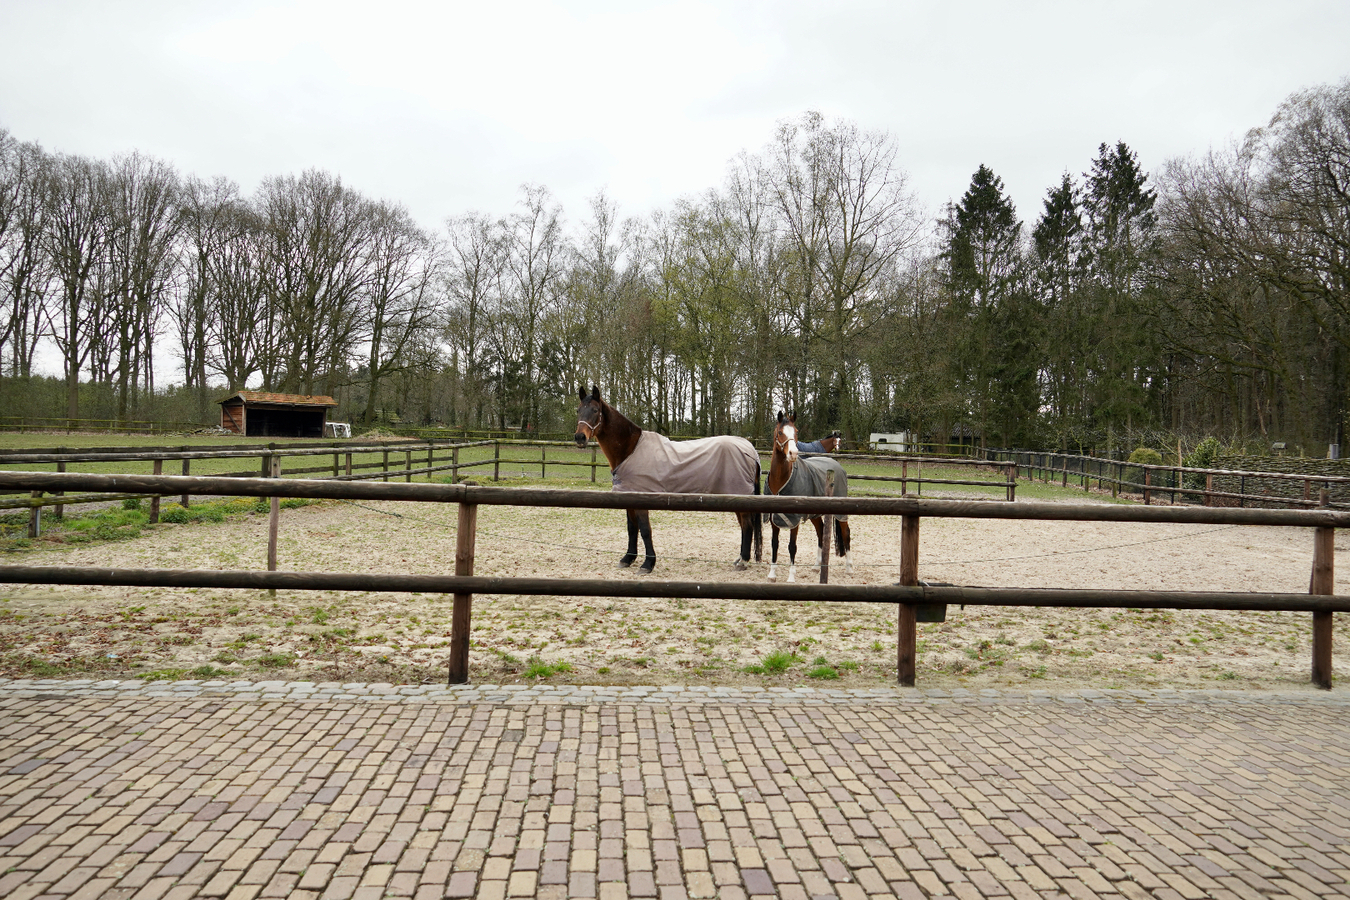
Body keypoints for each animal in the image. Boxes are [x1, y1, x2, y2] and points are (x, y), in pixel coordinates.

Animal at [572, 383, 761, 574]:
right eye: (578, 410)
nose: (580, 437)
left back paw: (743, 561)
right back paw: (739, 559)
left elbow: (645, 530)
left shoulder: (641, 502)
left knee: (747, 525)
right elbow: (632, 529)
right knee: (745, 526)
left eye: (595, 410)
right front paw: (627, 559)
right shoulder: (628, 498)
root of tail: (751, 450)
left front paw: (648, 564)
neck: (630, 450)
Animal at [766, 412, 847, 585]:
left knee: (846, 532)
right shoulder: (773, 518)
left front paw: (791, 577)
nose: (793, 454)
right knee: (821, 533)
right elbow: (774, 544)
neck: (780, 481)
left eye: (796, 431)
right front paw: (772, 574)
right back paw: (817, 567)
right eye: (780, 432)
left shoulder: (794, 520)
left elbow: (792, 546)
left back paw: (849, 568)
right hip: (814, 515)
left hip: (841, 513)